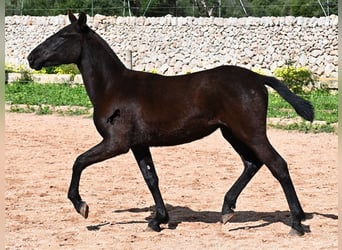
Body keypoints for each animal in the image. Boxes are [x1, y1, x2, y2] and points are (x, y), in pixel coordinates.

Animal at [28, 10, 314, 235]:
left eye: (63, 36)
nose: (32, 57)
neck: (113, 87)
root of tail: (256, 78)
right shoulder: (139, 145)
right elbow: (151, 178)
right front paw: (158, 220)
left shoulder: (116, 143)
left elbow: (79, 162)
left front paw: (81, 206)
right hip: (231, 133)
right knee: (252, 163)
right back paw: (227, 210)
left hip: (250, 132)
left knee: (277, 164)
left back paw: (296, 223)